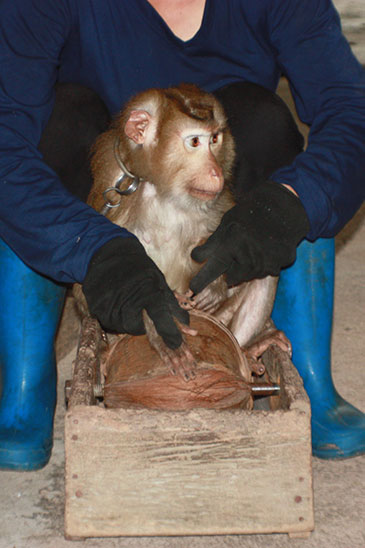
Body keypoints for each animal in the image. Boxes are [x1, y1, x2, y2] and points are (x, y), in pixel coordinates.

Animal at [74, 83, 290, 384]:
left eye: (215, 138)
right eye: (195, 142)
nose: (216, 173)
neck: (164, 192)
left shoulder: (219, 201)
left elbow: (235, 242)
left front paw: (218, 279)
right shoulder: (114, 199)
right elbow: (92, 291)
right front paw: (158, 319)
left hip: (220, 320)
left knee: (262, 267)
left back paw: (247, 350)